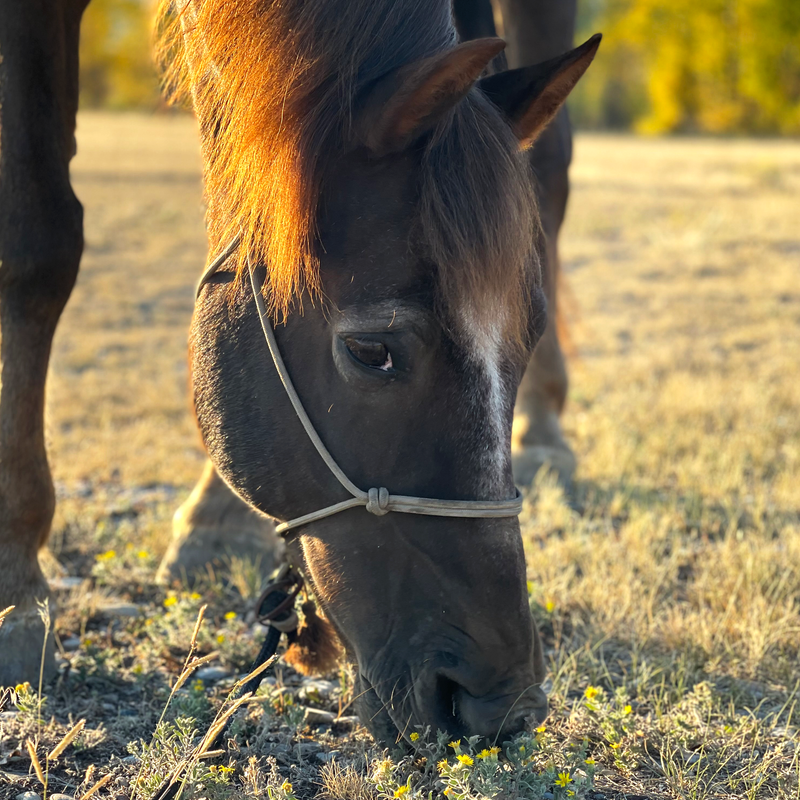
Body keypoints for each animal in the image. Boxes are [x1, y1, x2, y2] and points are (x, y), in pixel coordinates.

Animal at [0, 0, 592, 744]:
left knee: (554, 169)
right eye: (371, 351)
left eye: (530, 336)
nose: (503, 705)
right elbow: (35, 242)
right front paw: (17, 587)